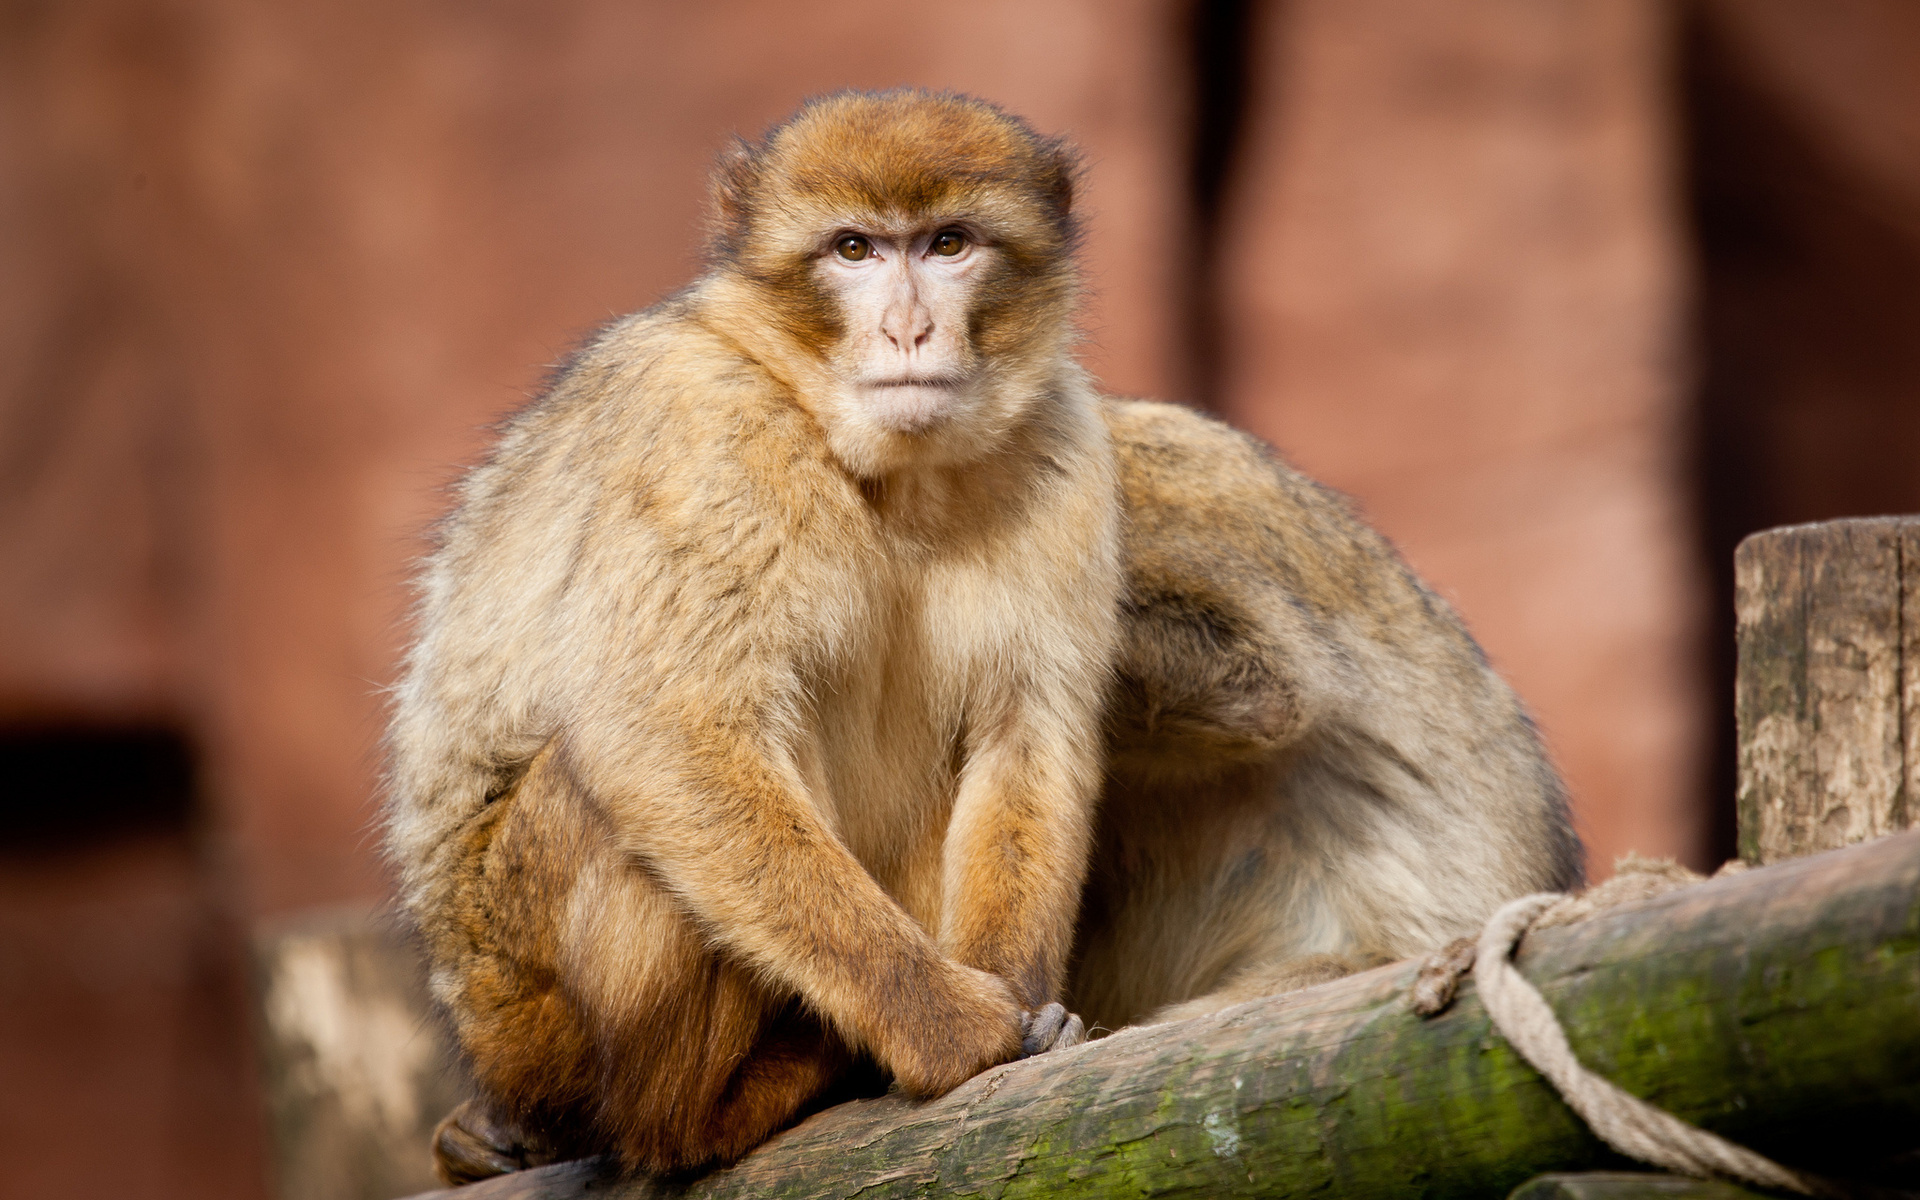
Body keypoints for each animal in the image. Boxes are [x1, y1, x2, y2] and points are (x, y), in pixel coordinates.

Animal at [382, 93, 1121, 1182]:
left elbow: (1025, 733)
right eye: (855, 249)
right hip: (532, 1014)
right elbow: (668, 733)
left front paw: (1030, 1014)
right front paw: (944, 1025)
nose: (908, 326)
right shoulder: (703, 427)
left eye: (948, 244)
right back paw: (711, 1113)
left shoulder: (1064, 439)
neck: (875, 465)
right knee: (613, 791)